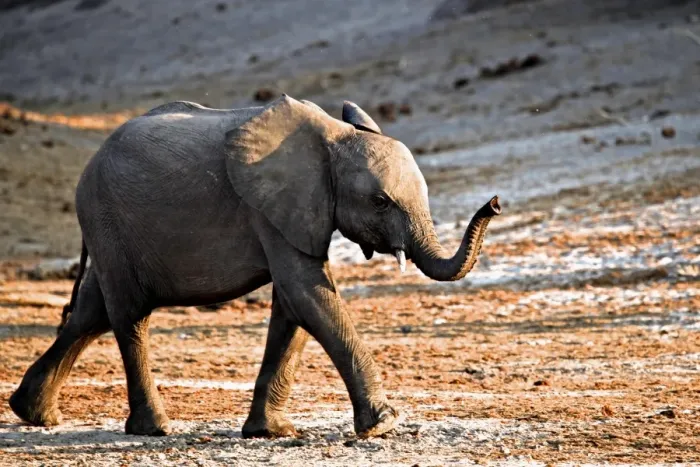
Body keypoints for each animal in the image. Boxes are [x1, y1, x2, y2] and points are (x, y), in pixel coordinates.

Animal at [9, 94, 501, 439]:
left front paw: (271, 433)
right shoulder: (268, 206)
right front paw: (384, 424)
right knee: (129, 315)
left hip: (109, 228)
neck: (331, 135)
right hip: (106, 216)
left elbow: (294, 306)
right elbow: (308, 293)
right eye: (380, 202)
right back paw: (154, 428)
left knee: (91, 312)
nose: (495, 203)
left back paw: (34, 414)